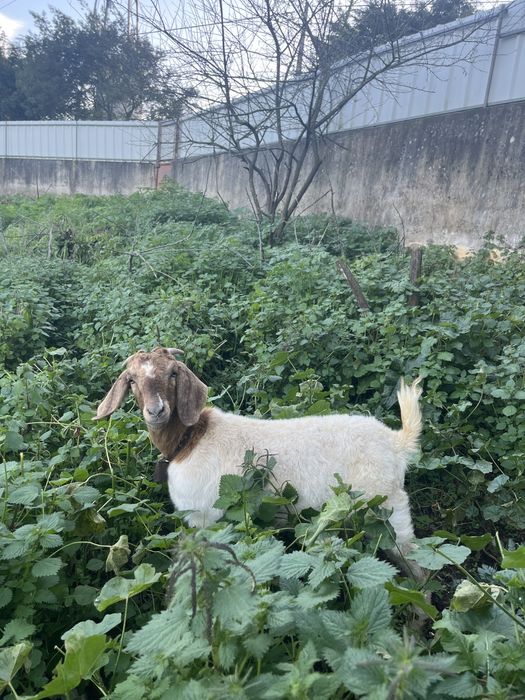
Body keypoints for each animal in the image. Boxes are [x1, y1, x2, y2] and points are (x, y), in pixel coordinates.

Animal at [95, 347, 424, 575]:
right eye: (132, 380)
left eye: (173, 374)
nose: (156, 410)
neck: (189, 441)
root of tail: (396, 442)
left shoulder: (205, 518)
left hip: (388, 510)